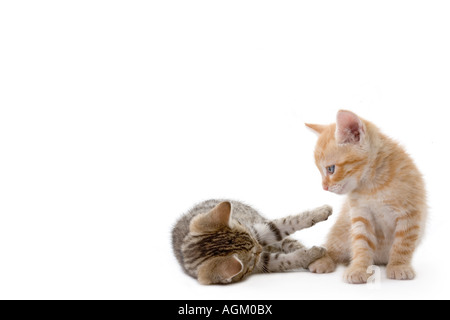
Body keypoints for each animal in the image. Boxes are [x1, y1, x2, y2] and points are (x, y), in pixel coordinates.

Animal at [171, 199, 330, 284]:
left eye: (251, 236)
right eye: (252, 257)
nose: (259, 247)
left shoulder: (257, 230)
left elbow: (286, 223)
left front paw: (322, 211)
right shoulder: (264, 263)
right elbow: (289, 260)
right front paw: (310, 254)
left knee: (289, 242)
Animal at [306, 111, 426, 284]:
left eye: (331, 169)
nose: (324, 187)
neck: (373, 185)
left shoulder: (410, 213)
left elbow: (403, 243)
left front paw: (399, 266)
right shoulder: (360, 215)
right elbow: (361, 243)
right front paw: (359, 268)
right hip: (342, 231)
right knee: (332, 249)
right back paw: (324, 261)